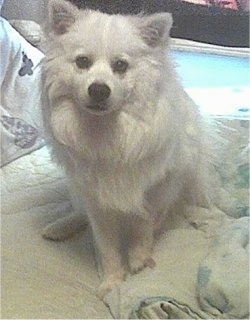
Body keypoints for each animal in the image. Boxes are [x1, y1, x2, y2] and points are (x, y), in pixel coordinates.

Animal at [41, 0, 217, 298]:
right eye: (82, 62)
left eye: (120, 66)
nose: (99, 89)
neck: (107, 130)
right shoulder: (95, 197)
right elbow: (106, 244)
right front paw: (112, 280)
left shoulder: (156, 190)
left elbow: (143, 228)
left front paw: (138, 261)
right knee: (78, 211)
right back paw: (59, 227)